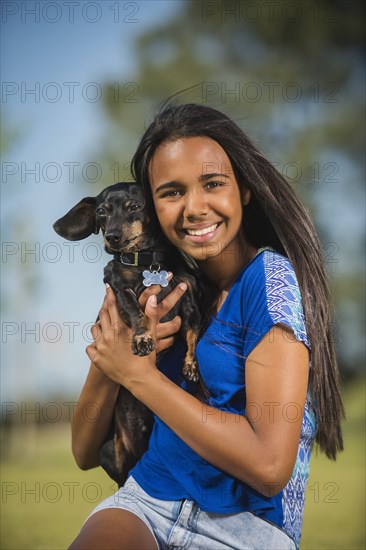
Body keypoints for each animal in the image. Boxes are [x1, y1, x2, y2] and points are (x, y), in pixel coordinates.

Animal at [53, 184, 202, 488]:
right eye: (101, 212)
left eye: (134, 207)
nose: (112, 236)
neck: (144, 263)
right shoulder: (120, 291)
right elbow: (137, 312)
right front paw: (143, 338)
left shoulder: (190, 300)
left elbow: (193, 334)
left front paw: (191, 365)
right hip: (109, 451)